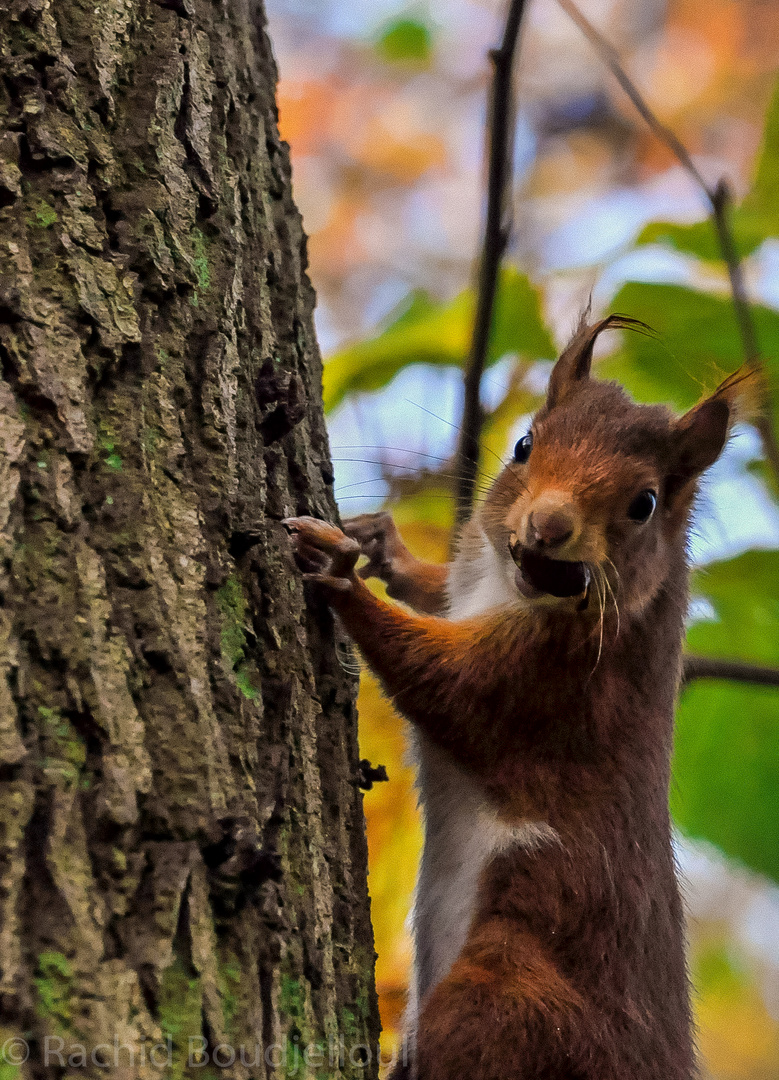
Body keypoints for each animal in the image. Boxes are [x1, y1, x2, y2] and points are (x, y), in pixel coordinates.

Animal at [283, 315, 747, 1080]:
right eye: (526, 443)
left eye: (643, 504)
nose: (549, 526)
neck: (509, 587)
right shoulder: (468, 594)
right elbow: (436, 593)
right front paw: (383, 546)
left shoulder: (550, 682)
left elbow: (441, 682)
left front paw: (341, 574)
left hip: (507, 989)